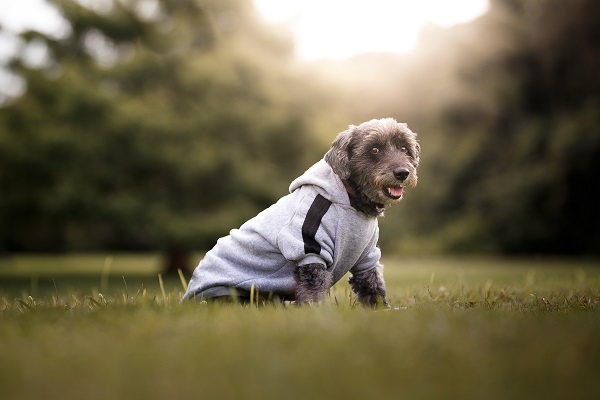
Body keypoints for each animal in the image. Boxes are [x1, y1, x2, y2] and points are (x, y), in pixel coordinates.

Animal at [182, 119, 418, 306]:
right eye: (374, 150)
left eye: (404, 148)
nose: (402, 173)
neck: (353, 202)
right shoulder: (310, 251)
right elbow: (313, 293)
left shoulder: (367, 257)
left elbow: (374, 287)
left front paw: (382, 310)